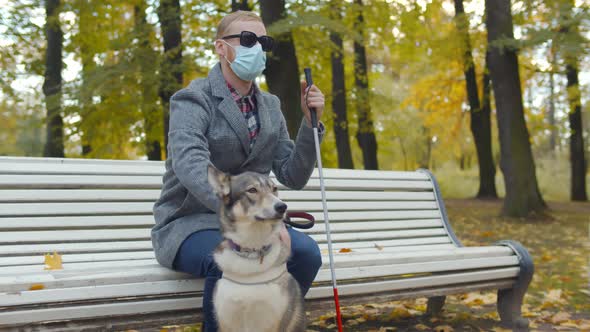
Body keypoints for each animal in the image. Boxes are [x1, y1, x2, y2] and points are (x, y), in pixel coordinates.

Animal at [208, 165, 308, 332]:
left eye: (274, 189)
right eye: (252, 190)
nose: (282, 206)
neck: (251, 250)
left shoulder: (275, 321)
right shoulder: (226, 320)